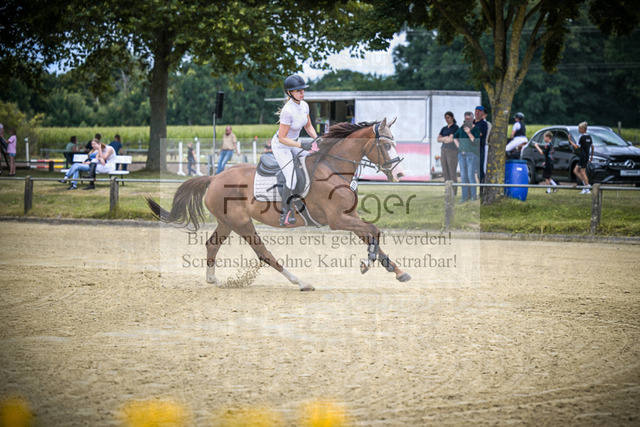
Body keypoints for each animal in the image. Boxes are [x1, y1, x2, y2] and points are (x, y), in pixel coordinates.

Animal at [147, 117, 411, 291]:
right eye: (386, 145)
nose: (400, 174)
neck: (333, 168)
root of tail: (214, 177)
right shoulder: (338, 220)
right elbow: (374, 230)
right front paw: (367, 262)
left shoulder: (351, 216)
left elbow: (372, 234)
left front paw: (397, 271)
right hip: (241, 222)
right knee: (263, 253)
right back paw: (300, 282)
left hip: (227, 222)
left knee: (212, 244)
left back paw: (212, 279)